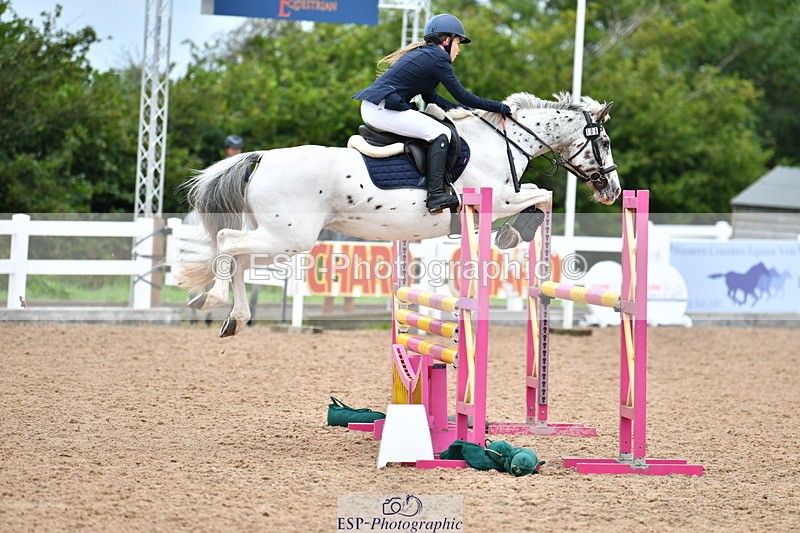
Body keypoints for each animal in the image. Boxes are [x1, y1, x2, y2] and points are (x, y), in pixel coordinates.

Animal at [180, 91, 621, 337]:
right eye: (604, 142)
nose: (613, 191)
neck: (502, 142)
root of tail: (262, 158)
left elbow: (537, 195)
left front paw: (511, 235)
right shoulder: (495, 200)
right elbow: (541, 195)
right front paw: (514, 234)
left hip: (276, 237)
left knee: (238, 257)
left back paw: (235, 318)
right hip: (289, 237)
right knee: (227, 243)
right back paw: (213, 299)